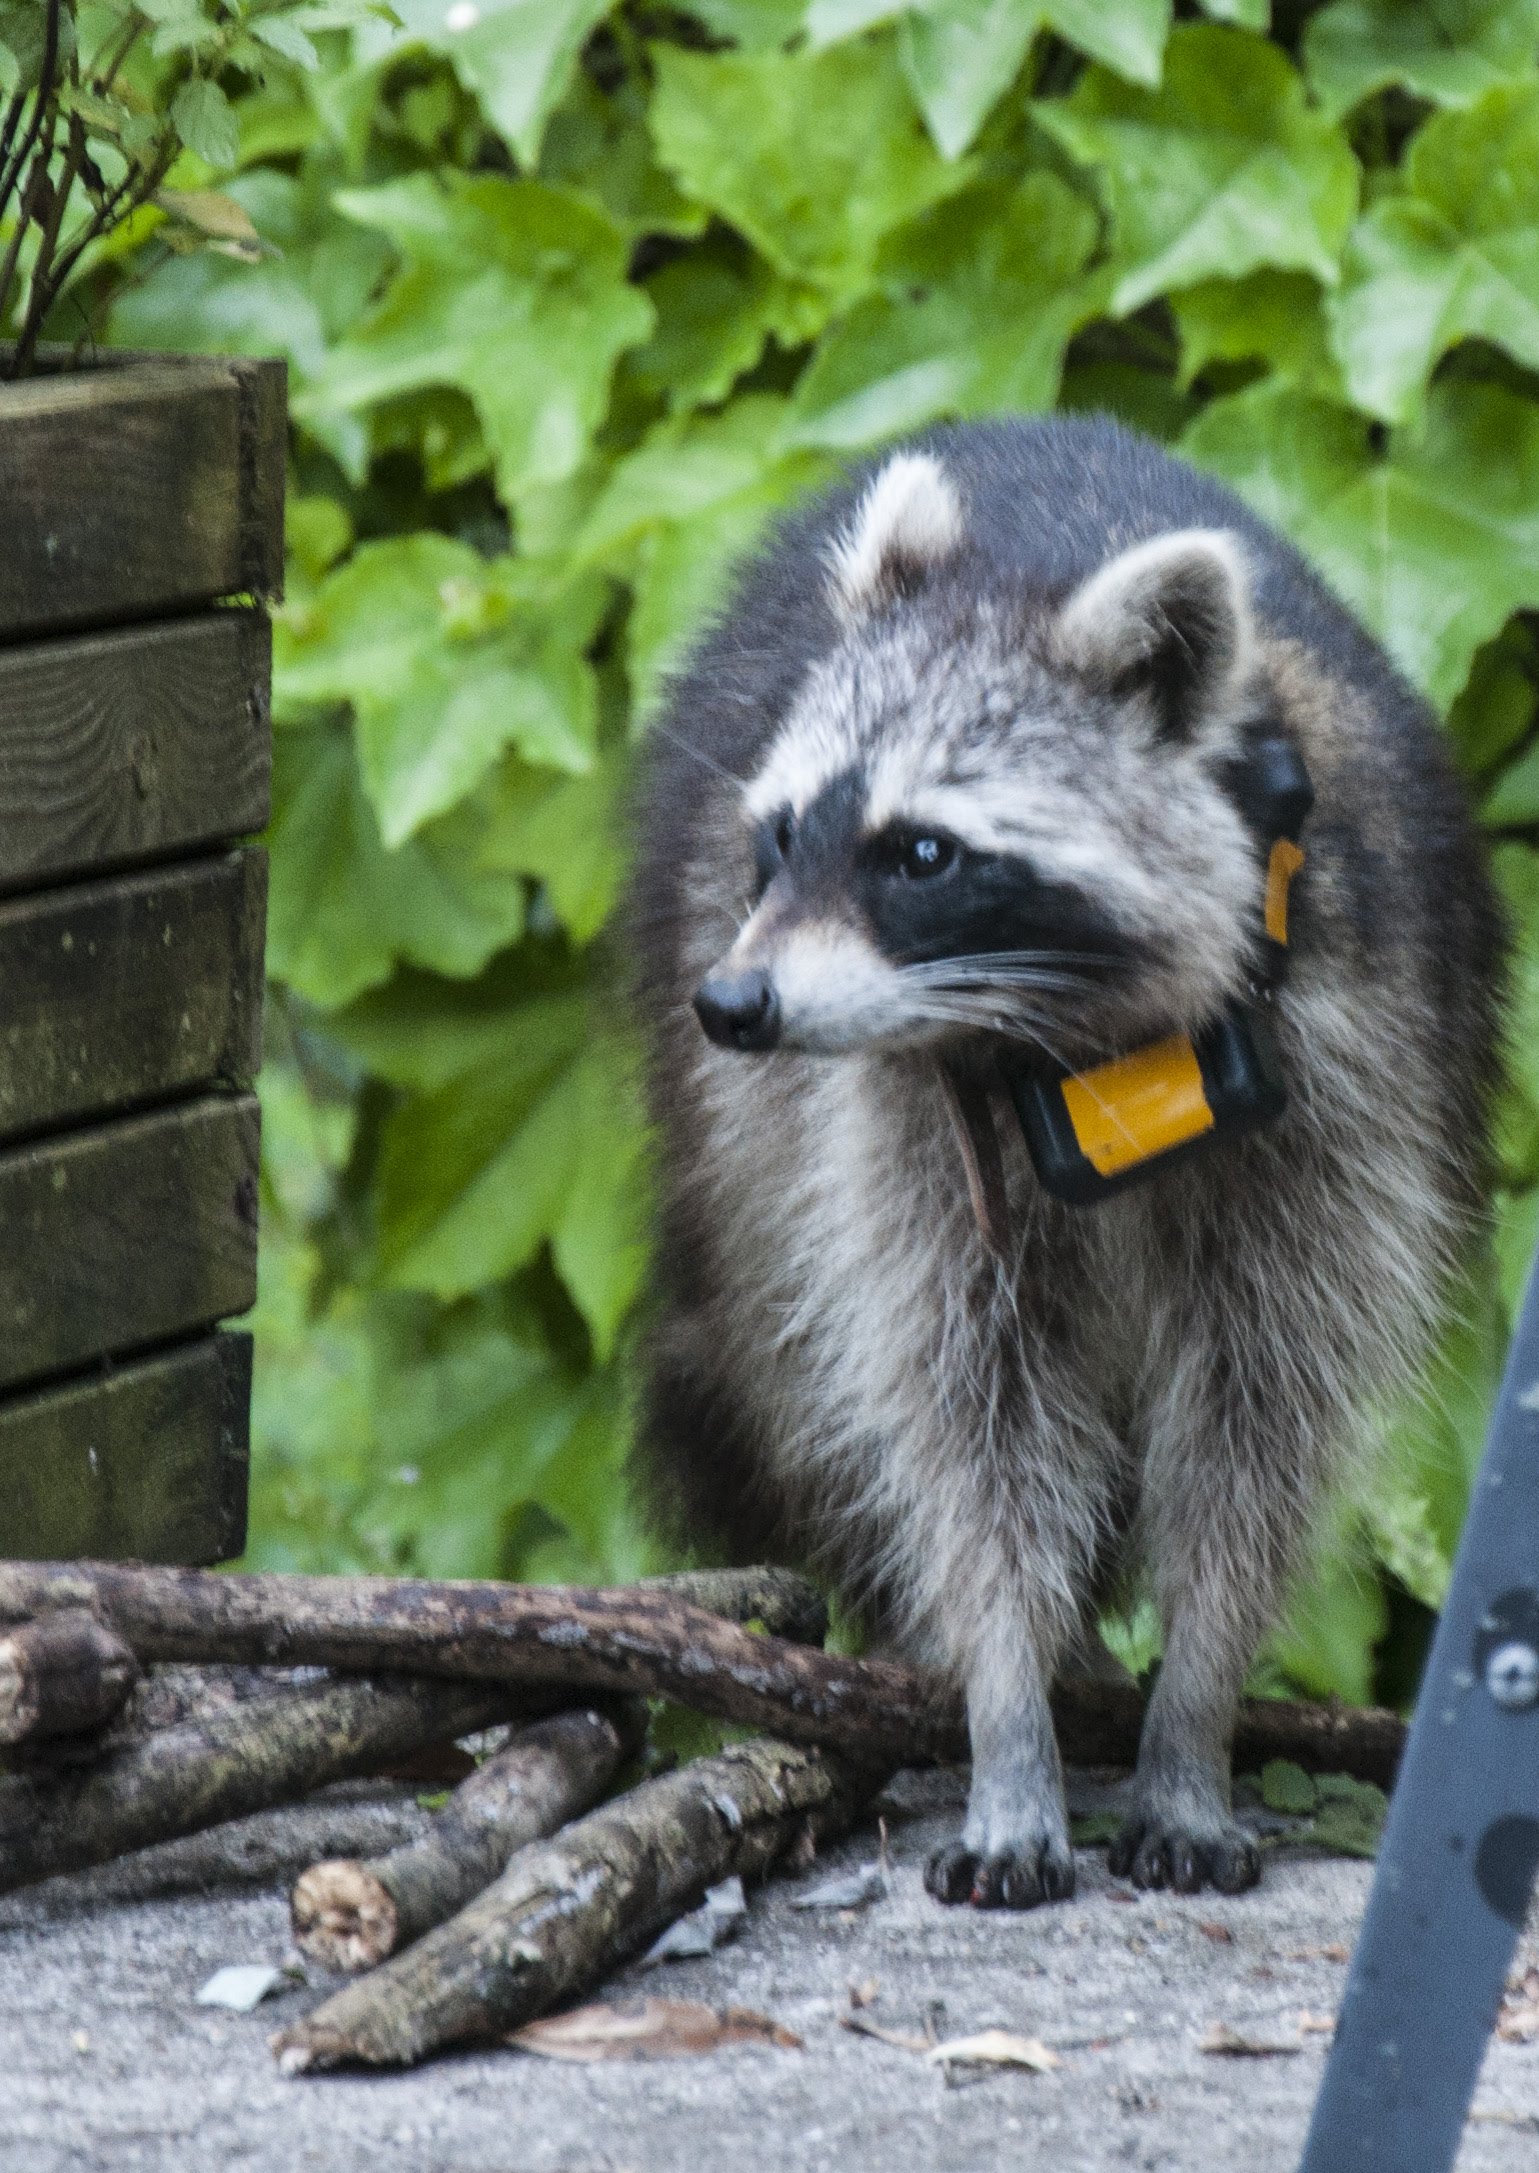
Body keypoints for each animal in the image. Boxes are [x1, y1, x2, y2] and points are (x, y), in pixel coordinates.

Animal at [626, 410, 1504, 1903]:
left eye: (921, 851)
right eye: (785, 831)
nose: (733, 1007)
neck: (1091, 1051)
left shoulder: (1343, 1068)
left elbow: (1256, 1419)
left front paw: (1193, 1716)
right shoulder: (904, 1121)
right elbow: (968, 1424)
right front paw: (1007, 1712)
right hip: (738, 1146)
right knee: (808, 1361)